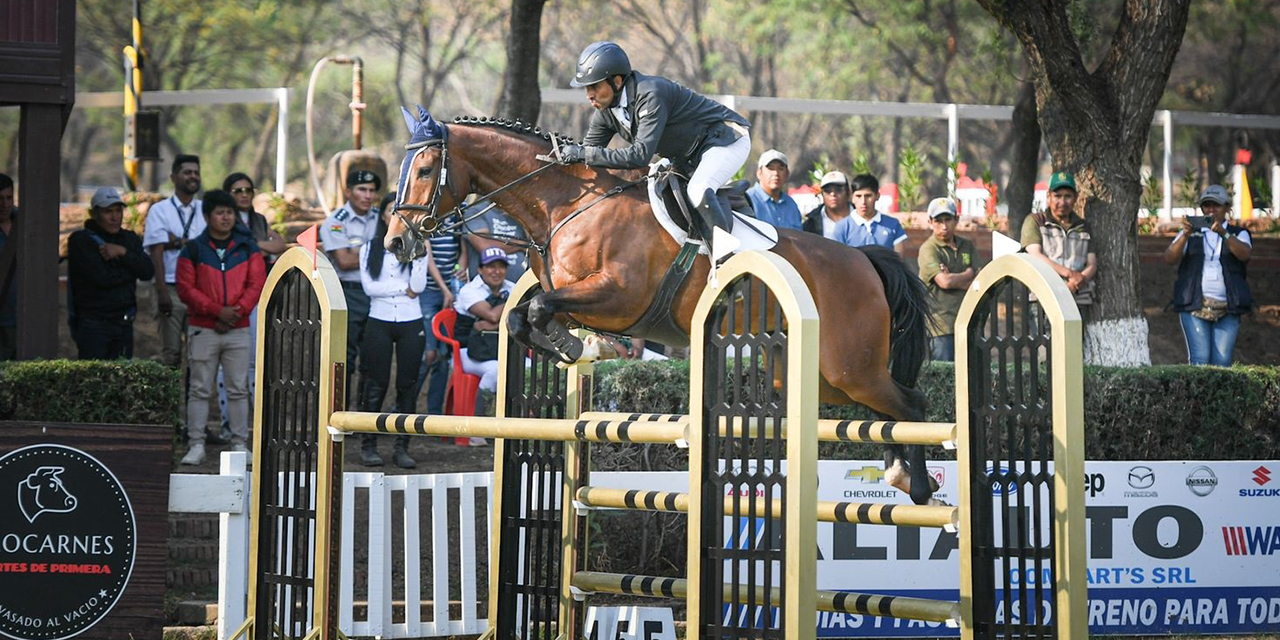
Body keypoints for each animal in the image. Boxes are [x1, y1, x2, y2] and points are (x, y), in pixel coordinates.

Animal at [384, 110, 936, 504]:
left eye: (427, 169)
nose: (395, 242)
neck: (568, 203)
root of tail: (863, 259)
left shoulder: (617, 296)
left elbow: (538, 309)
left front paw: (580, 347)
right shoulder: (577, 299)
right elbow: (524, 316)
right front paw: (579, 349)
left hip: (848, 366)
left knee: (911, 403)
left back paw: (917, 485)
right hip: (816, 374)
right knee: (886, 410)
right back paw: (900, 473)